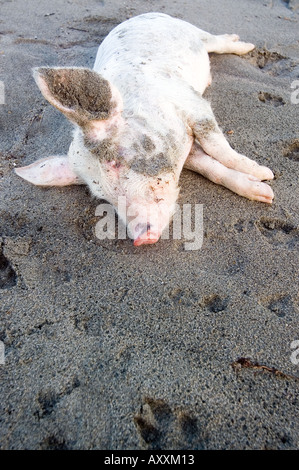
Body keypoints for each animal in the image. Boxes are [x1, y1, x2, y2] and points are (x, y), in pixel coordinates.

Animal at [15, 12, 276, 246]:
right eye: (101, 194)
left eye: (115, 162)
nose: (141, 239)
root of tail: (139, 16)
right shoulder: (186, 148)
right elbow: (209, 167)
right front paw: (265, 193)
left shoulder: (194, 105)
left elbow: (217, 147)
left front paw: (265, 174)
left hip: (192, 31)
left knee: (217, 41)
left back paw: (245, 44)